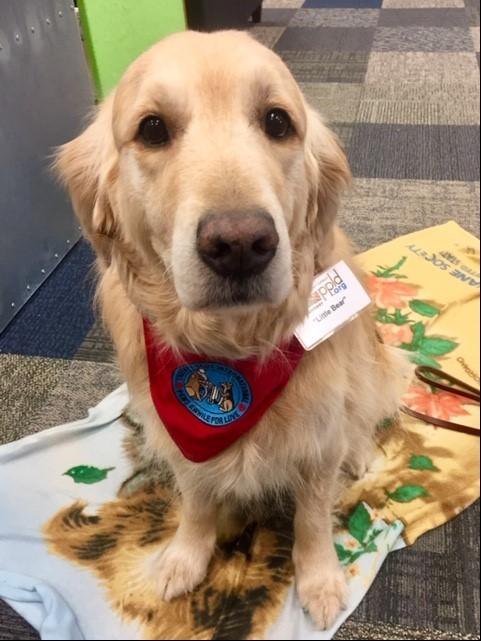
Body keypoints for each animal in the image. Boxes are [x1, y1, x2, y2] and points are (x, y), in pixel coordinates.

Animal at [55, 32, 404, 628]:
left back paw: (358, 452)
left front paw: (319, 579)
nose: (240, 244)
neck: (229, 346)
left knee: (362, 417)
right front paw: (185, 557)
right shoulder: (182, 445)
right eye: (152, 128)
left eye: (277, 121)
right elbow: (197, 503)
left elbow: (312, 518)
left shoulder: (317, 443)